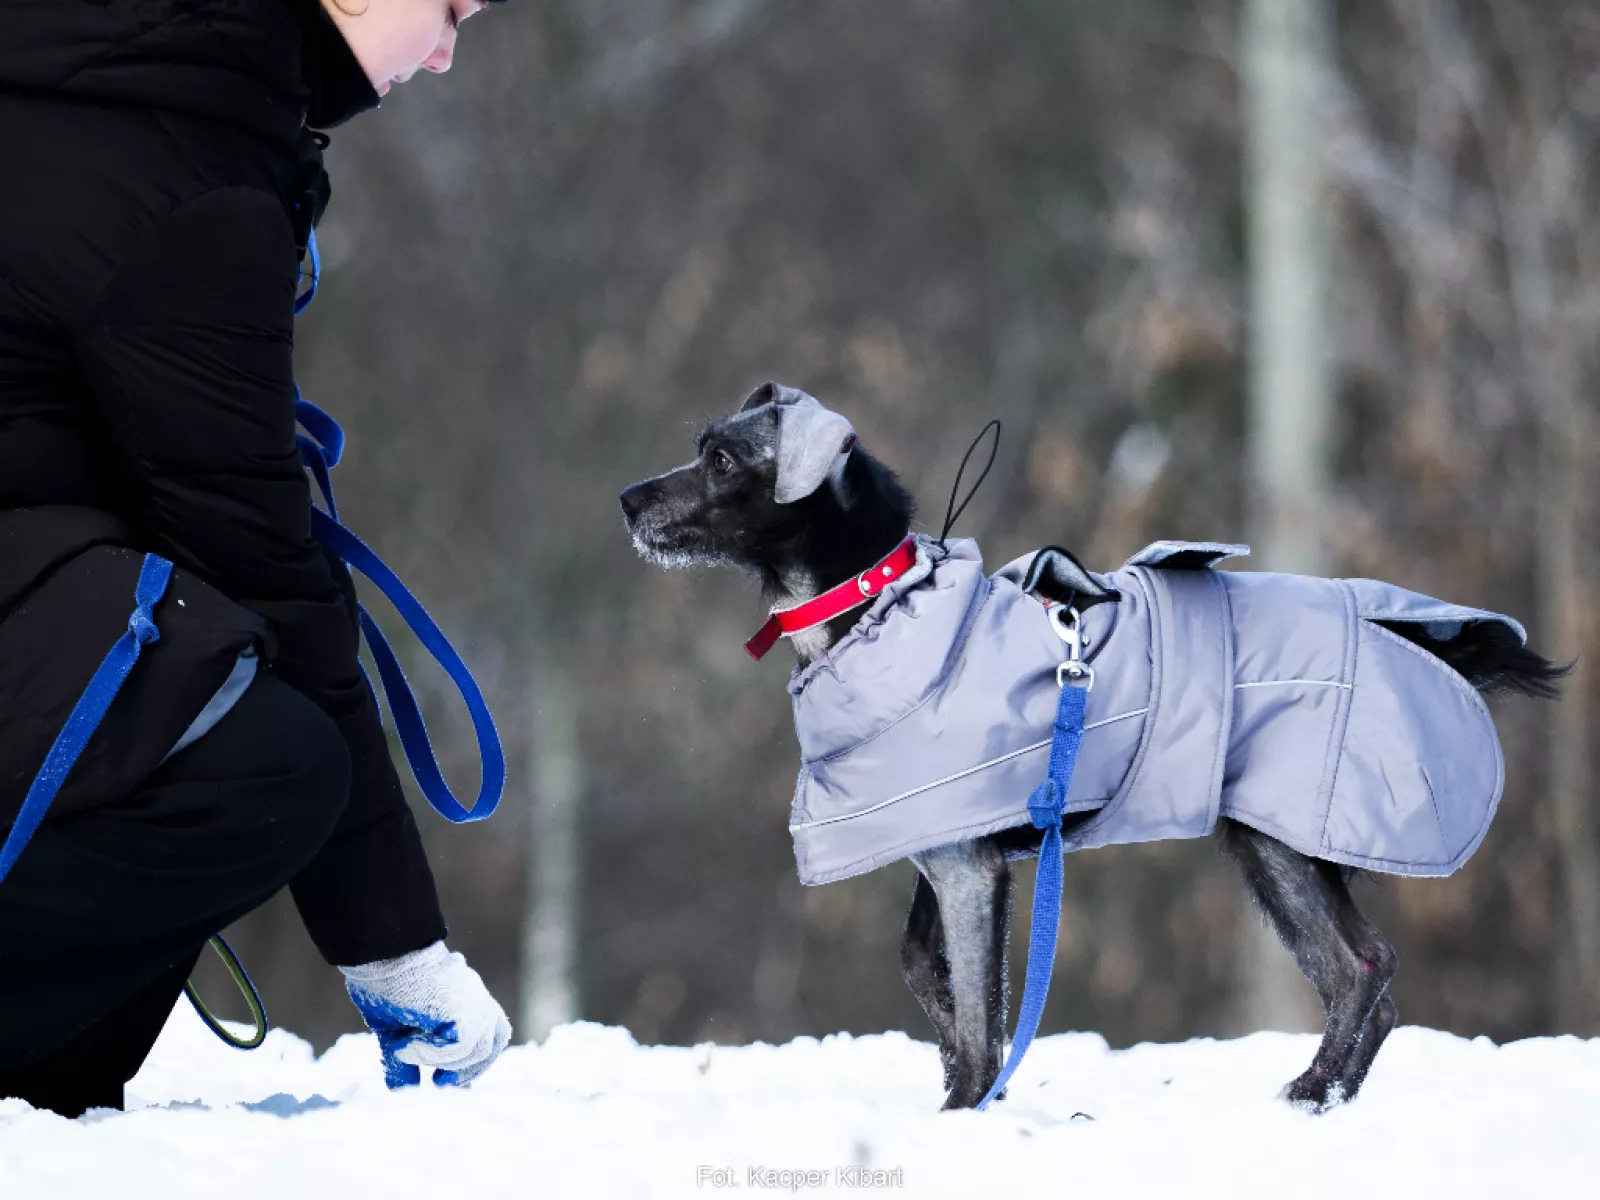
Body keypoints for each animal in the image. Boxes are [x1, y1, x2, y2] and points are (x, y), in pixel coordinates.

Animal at [620, 381, 1564, 1112]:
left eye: (721, 462)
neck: (879, 606)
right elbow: (932, 975)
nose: (628, 499)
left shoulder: (967, 868)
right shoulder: (939, 845)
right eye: (700, 447)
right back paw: (1333, 1098)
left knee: (1360, 969)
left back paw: (1309, 1093)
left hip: (1278, 843)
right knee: (1378, 979)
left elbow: (975, 1009)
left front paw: (968, 1108)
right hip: (1297, 848)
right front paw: (965, 1086)